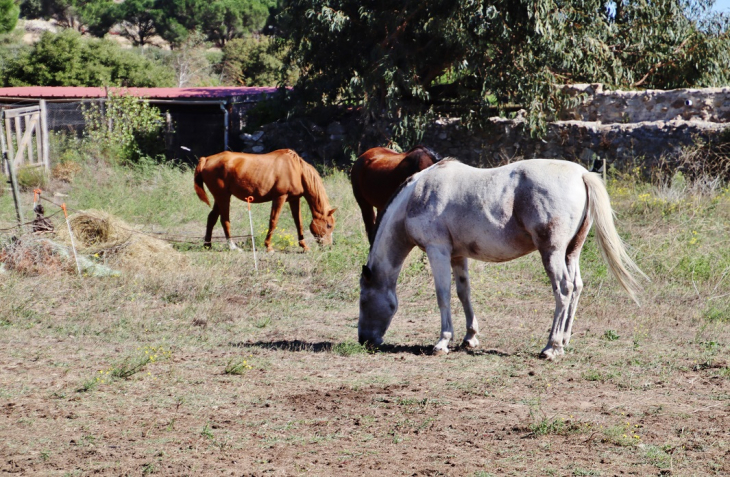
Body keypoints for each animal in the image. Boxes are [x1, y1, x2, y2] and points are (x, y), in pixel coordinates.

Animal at [193, 151, 336, 251]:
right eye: (329, 225)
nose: (329, 247)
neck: (297, 170)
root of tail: (206, 159)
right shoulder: (280, 197)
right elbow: (273, 221)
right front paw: (268, 246)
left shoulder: (294, 199)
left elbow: (298, 223)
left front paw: (304, 246)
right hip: (223, 196)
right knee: (224, 220)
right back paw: (232, 247)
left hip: (220, 197)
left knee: (212, 218)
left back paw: (207, 245)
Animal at [358, 158, 644, 358]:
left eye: (363, 300)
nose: (363, 340)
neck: (418, 195)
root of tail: (582, 174)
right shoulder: (457, 255)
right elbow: (463, 293)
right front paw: (470, 337)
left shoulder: (437, 250)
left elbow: (443, 295)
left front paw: (442, 341)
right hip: (571, 252)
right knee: (576, 288)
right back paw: (563, 341)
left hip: (552, 252)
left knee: (563, 289)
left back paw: (551, 347)